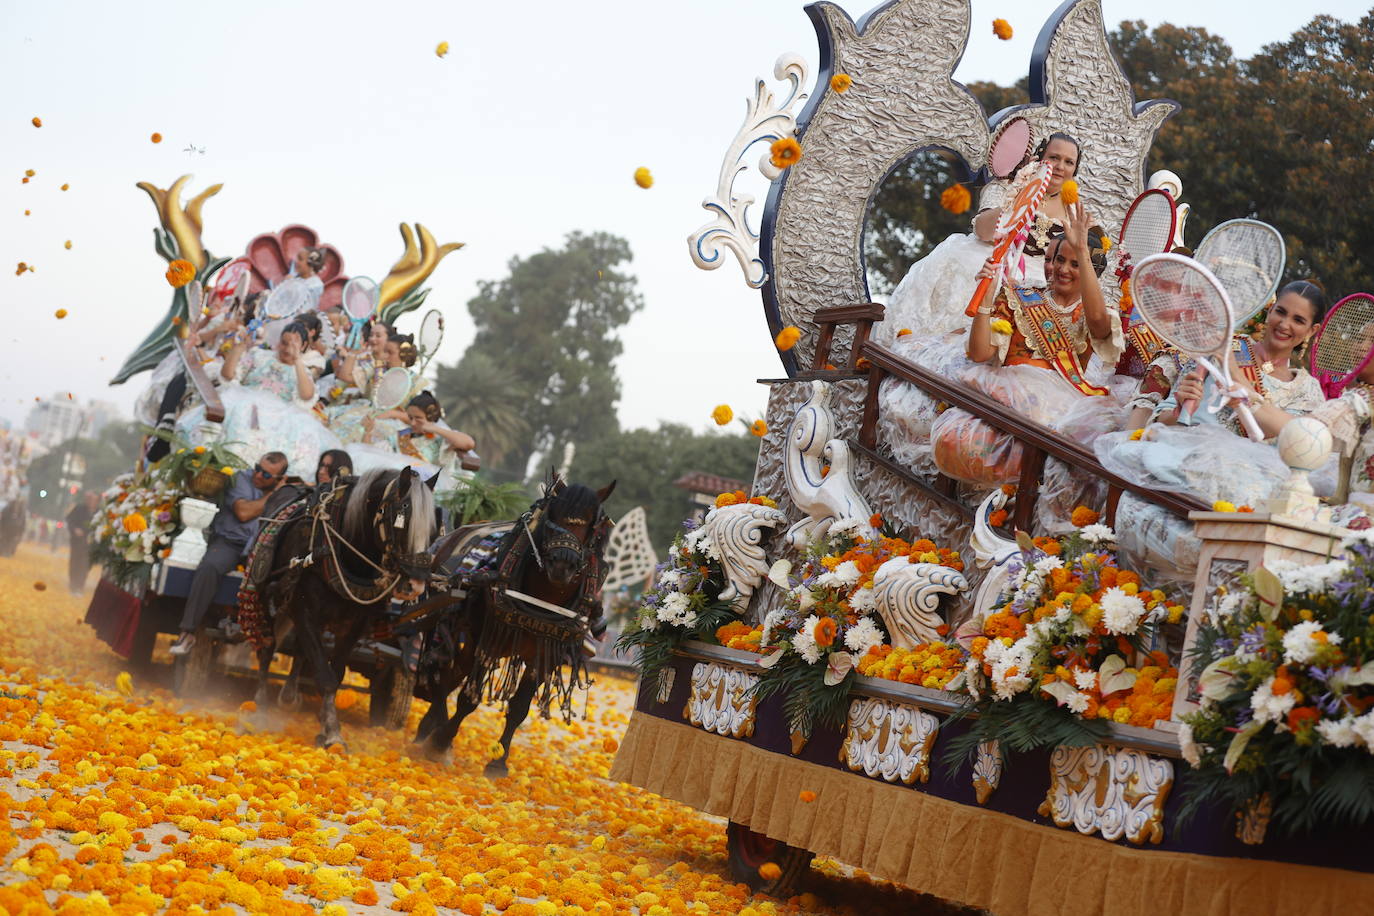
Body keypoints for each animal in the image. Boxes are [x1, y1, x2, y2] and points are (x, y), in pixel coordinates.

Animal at [239, 469, 436, 747]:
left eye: (432, 529)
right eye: (402, 517)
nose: (416, 585)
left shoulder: (354, 625)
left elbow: (336, 672)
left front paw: (325, 723)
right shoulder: (304, 610)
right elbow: (324, 675)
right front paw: (332, 732)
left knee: (299, 650)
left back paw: (289, 696)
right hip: (267, 595)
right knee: (267, 648)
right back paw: (261, 705)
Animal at [409, 477, 615, 780]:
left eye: (592, 525)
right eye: (552, 517)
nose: (563, 564)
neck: (542, 601)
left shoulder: (544, 656)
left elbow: (519, 708)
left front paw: (498, 761)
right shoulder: (489, 640)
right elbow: (469, 698)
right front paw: (441, 741)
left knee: (453, 674)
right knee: (450, 675)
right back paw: (431, 728)